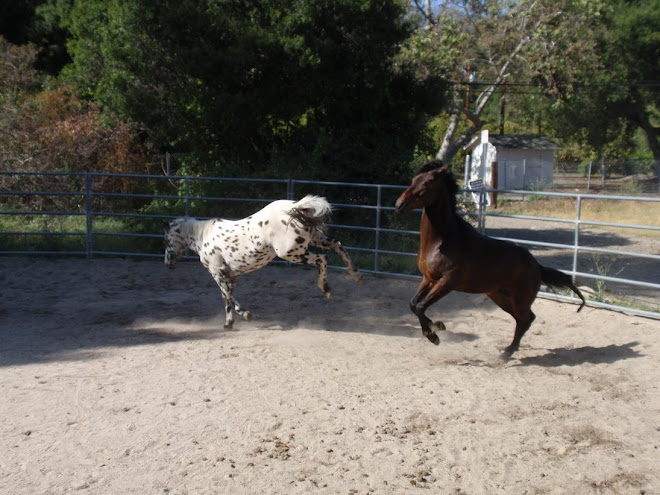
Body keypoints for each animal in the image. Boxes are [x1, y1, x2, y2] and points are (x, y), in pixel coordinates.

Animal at [163, 197, 364, 330]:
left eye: (166, 239)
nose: (168, 263)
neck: (203, 236)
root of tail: (295, 207)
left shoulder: (217, 272)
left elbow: (228, 296)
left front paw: (246, 315)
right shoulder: (231, 275)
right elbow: (226, 298)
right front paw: (228, 323)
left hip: (291, 253)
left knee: (323, 259)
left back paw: (326, 289)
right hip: (315, 239)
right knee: (338, 245)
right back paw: (356, 275)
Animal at [394, 161, 584, 358]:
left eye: (429, 181)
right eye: (414, 179)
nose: (399, 204)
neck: (441, 241)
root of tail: (537, 266)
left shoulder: (447, 282)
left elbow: (420, 306)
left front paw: (434, 334)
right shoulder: (429, 279)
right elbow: (413, 305)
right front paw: (436, 326)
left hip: (519, 299)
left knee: (525, 319)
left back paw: (506, 354)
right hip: (499, 295)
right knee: (524, 319)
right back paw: (508, 351)